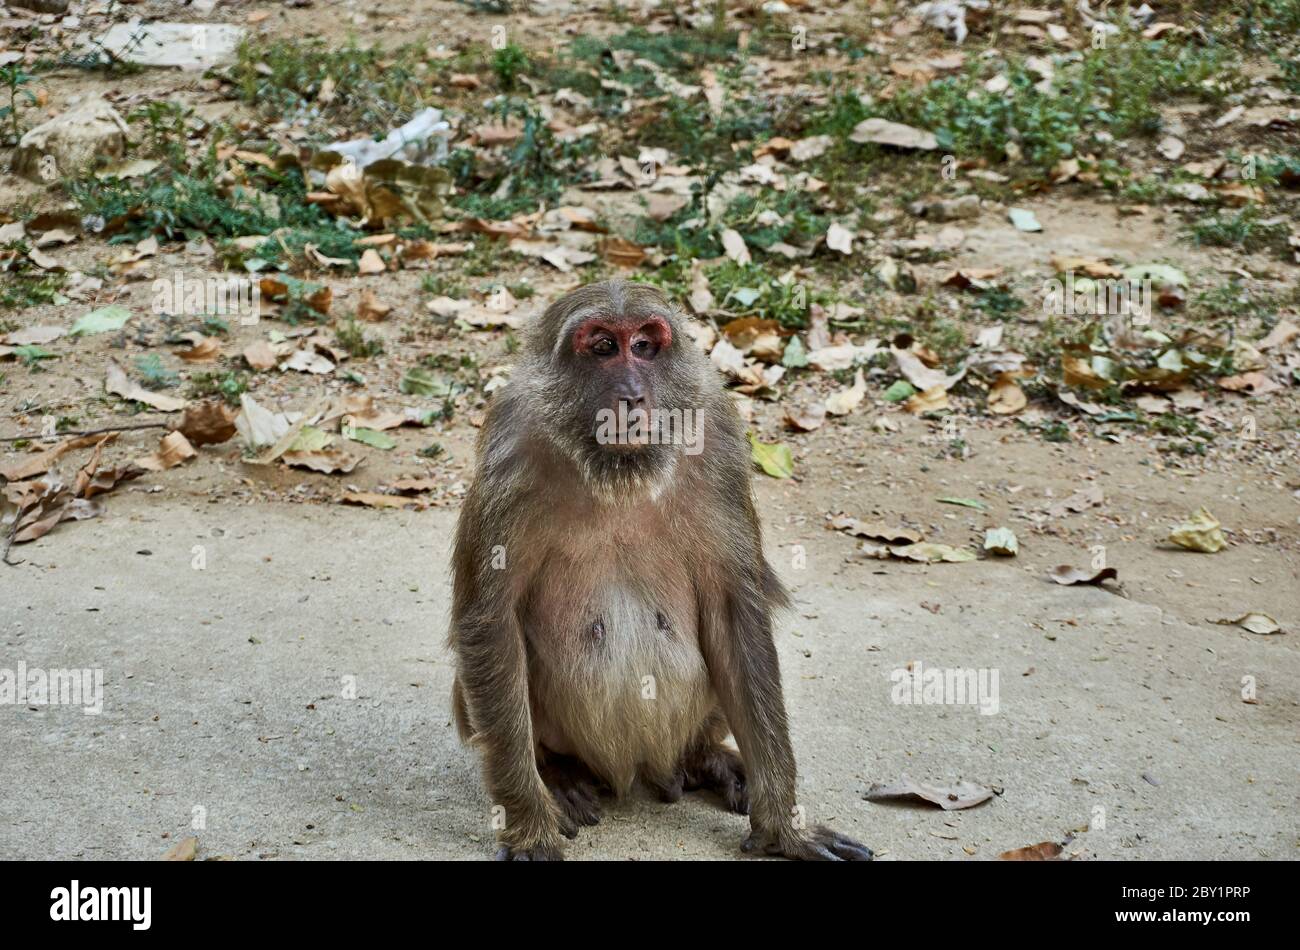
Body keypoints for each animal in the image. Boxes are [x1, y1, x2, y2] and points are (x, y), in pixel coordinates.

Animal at [447, 276, 873, 862]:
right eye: (604, 347)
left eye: (645, 347)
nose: (632, 395)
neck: (617, 474)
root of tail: (639, 770)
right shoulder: (507, 448)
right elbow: (491, 621)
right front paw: (528, 825)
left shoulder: (719, 439)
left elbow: (736, 614)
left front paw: (785, 829)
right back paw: (558, 774)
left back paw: (702, 758)